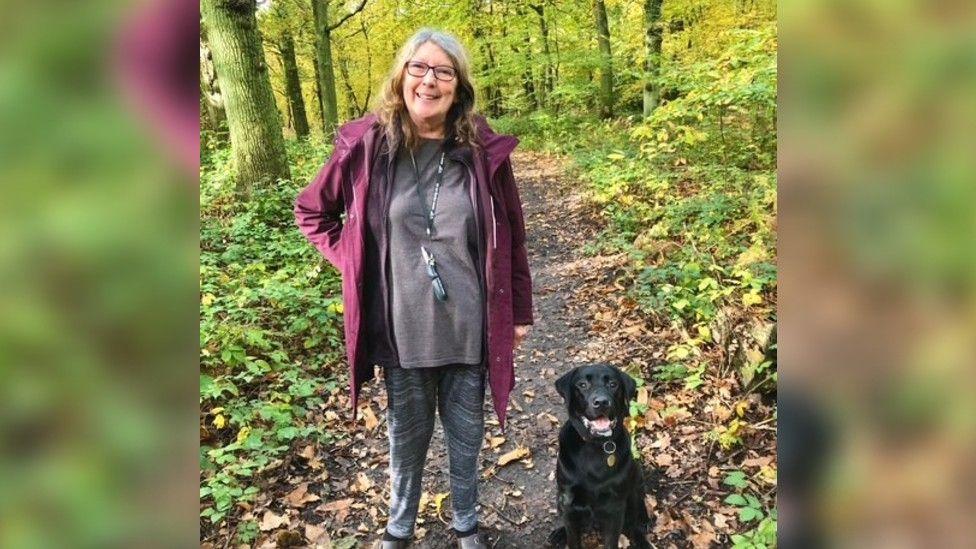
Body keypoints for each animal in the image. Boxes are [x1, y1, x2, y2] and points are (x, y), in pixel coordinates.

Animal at [548, 362, 648, 544]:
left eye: (613, 384)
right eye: (582, 385)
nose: (601, 402)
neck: (596, 445)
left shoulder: (615, 507)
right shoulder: (568, 502)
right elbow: (573, 539)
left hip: (636, 475)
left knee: (638, 502)